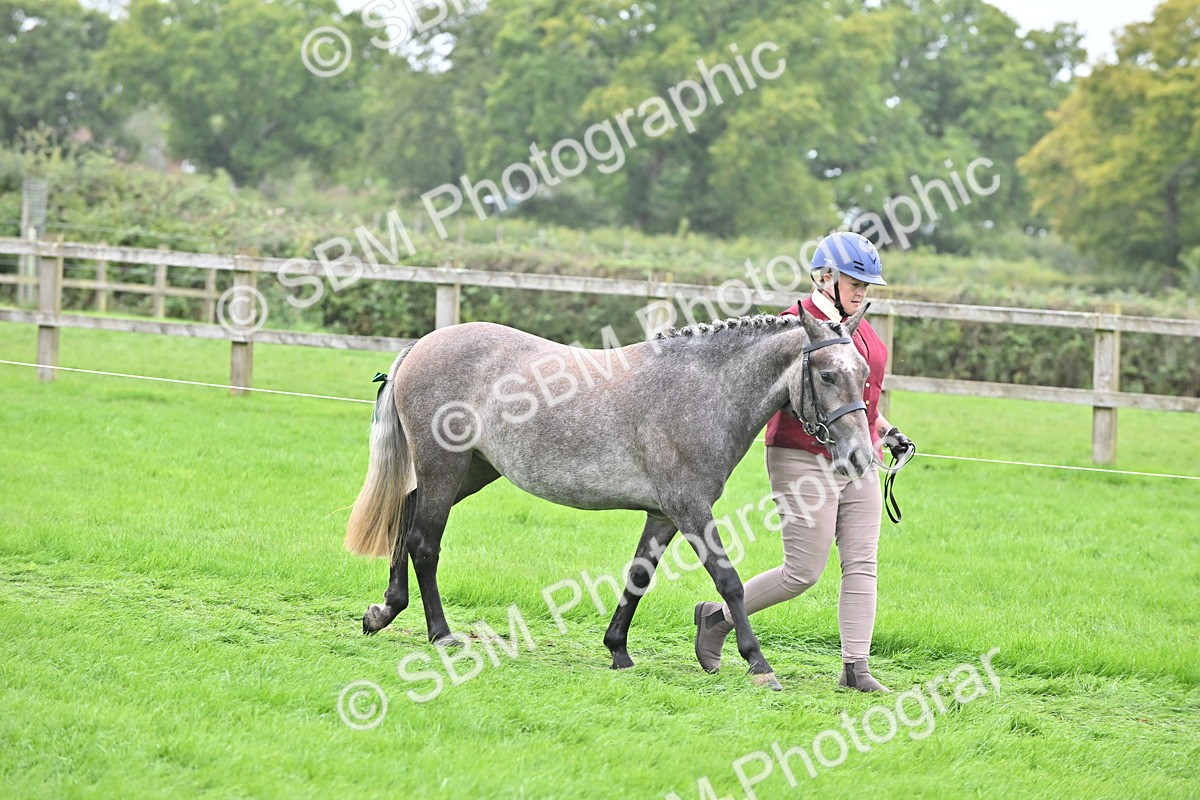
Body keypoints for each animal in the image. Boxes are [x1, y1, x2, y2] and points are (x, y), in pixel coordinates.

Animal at [344, 304, 875, 690]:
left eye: (864, 373)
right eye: (827, 375)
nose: (861, 456)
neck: (699, 391)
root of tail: (423, 344)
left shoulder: (663, 515)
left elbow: (638, 577)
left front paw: (618, 648)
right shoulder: (690, 509)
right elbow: (729, 582)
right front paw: (759, 664)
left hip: (471, 470)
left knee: (405, 514)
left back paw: (385, 610)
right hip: (445, 466)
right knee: (425, 542)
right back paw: (441, 633)